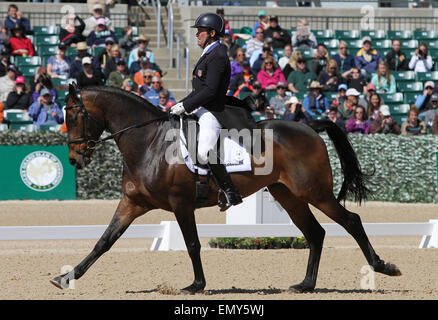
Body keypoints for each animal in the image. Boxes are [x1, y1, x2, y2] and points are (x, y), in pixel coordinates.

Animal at [50, 84, 400, 292]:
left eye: (75, 115)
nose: (74, 158)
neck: (149, 142)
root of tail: (309, 126)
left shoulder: (181, 204)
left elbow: (192, 244)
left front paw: (196, 285)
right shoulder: (132, 203)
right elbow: (104, 241)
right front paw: (66, 277)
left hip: (314, 192)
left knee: (350, 221)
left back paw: (382, 266)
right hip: (288, 195)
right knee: (316, 233)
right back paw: (305, 285)